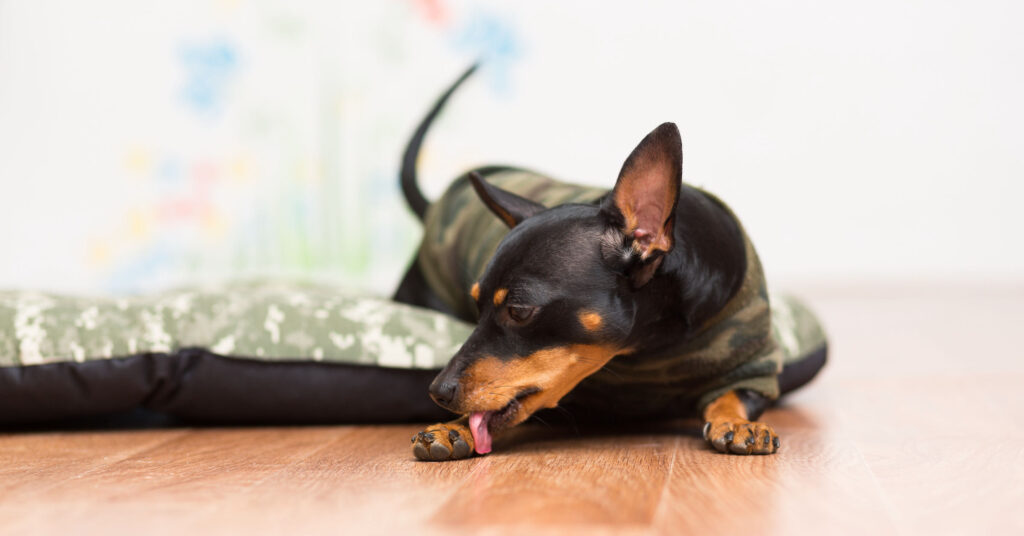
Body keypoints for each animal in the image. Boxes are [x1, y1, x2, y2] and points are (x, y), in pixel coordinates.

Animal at [391, 65, 823, 461]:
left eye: (519, 310)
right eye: (476, 307)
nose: (438, 392)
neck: (649, 347)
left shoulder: (754, 365)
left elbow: (732, 394)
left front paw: (736, 421)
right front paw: (456, 427)